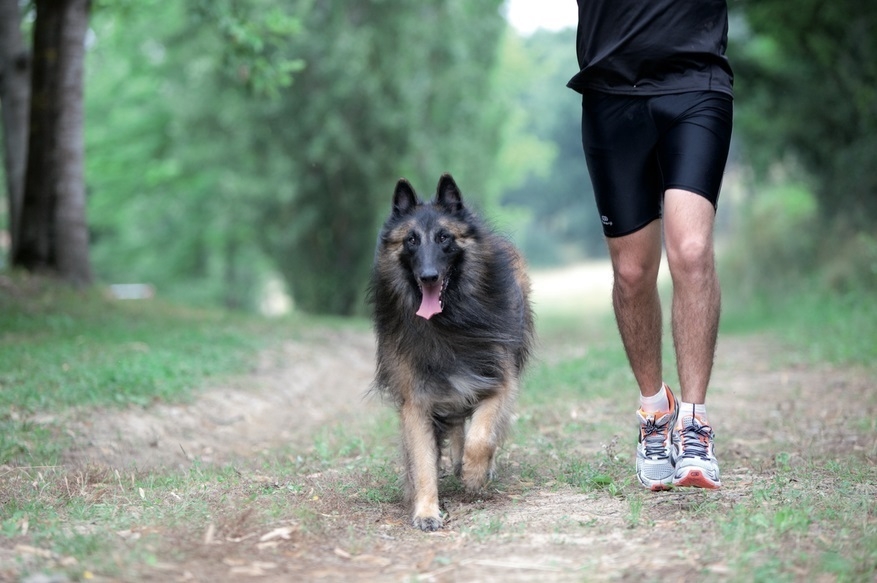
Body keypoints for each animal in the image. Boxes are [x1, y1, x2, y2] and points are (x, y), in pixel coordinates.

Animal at [364, 175, 532, 532]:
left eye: (444, 237)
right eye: (411, 240)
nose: (428, 276)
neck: (448, 323)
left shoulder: (496, 381)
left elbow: (482, 437)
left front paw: (474, 475)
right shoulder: (416, 400)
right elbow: (423, 461)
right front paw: (426, 510)